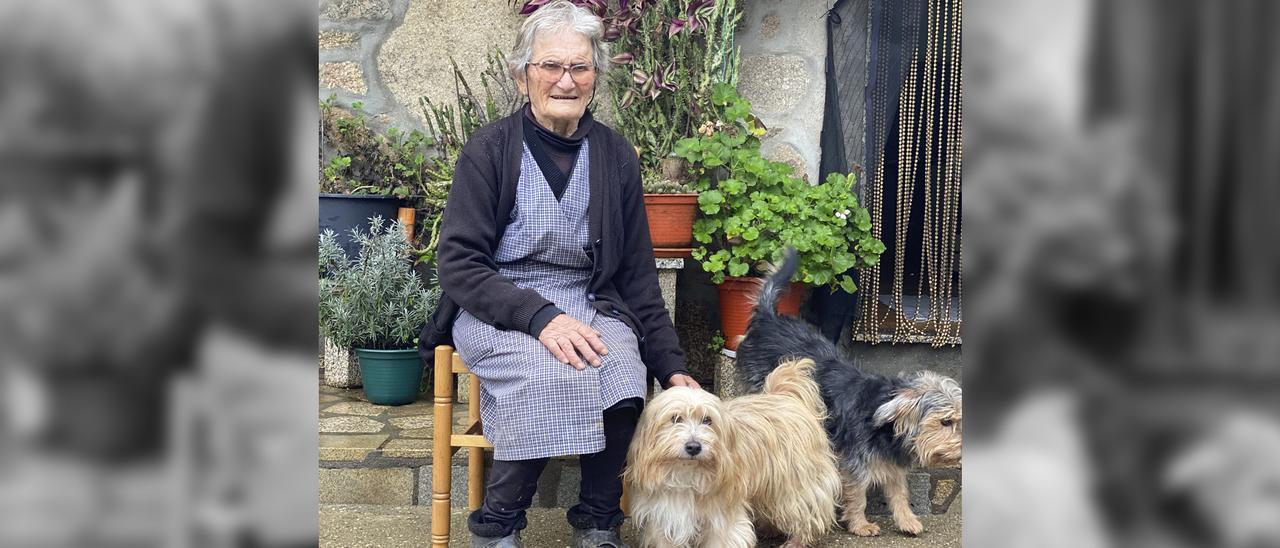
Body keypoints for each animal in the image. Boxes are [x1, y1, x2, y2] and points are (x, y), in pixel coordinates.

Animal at [624, 358, 844, 548]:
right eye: (675, 418)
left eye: (707, 420)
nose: (694, 447)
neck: (686, 474)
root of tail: (784, 395)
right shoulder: (664, 517)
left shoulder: (721, 521)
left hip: (793, 485)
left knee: (807, 511)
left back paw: (797, 541)